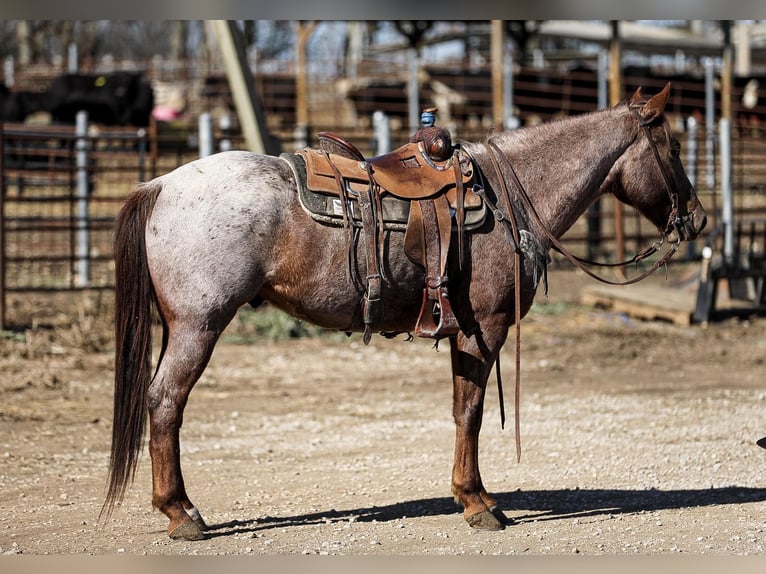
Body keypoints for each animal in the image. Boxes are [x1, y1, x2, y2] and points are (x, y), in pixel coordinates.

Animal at [102, 84, 708, 540]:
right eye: (675, 148)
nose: (698, 219)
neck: (510, 196)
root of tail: (160, 185)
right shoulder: (483, 328)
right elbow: (470, 411)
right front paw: (478, 502)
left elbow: (463, 410)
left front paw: (471, 496)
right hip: (198, 326)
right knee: (165, 401)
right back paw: (181, 513)